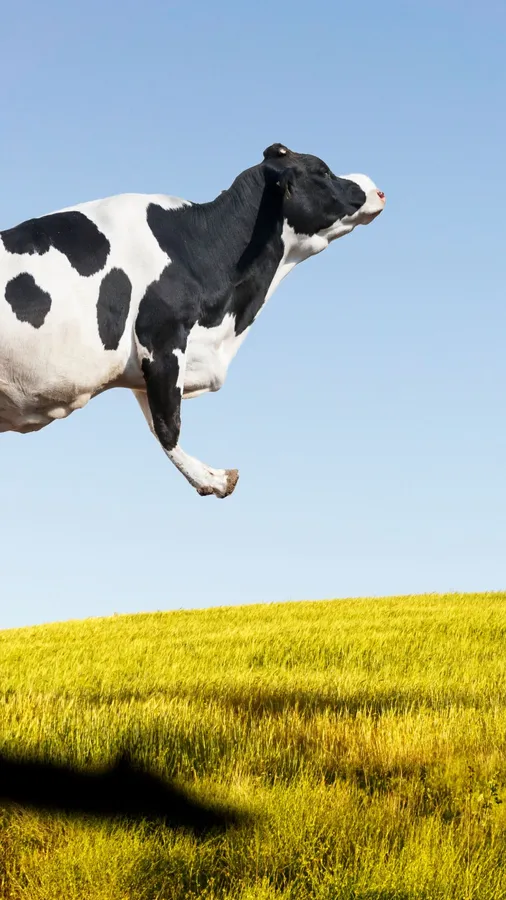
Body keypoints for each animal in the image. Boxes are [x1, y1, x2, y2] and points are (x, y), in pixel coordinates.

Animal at [0, 143, 385, 498]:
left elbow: (157, 419)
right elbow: (167, 425)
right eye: (322, 171)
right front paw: (211, 479)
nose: (377, 189)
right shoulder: (162, 336)